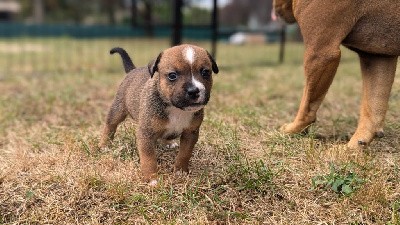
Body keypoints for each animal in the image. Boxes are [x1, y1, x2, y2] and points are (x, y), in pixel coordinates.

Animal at [99, 44, 219, 185]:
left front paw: (180, 171)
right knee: (110, 125)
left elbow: (185, 154)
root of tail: (132, 71)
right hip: (118, 110)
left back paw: (168, 143)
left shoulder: (190, 133)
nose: (194, 91)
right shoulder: (146, 135)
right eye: (172, 75)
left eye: (205, 72)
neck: (176, 109)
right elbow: (149, 158)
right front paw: (151, 178)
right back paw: (104, 145)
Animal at [274, 0, 400, 149]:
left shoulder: (320, 53)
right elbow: (373, 109)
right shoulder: (377, 57)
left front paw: (293, 129)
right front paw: (352, 147)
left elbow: (307, 104)